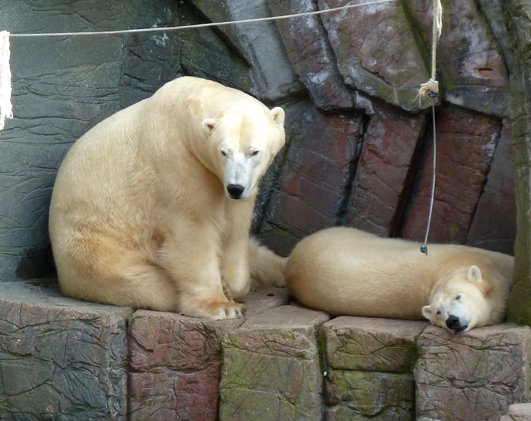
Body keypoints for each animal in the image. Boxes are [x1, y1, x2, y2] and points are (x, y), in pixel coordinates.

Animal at [50, 76, 288, 318]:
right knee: (148, 284)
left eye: (254, 151)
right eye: (224, 152)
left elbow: (235, 228)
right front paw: (222, 305)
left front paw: (231, 285)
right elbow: (193, 231)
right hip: (98, 245)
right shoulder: (176, 160)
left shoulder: (239, 185)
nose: (235, 188)